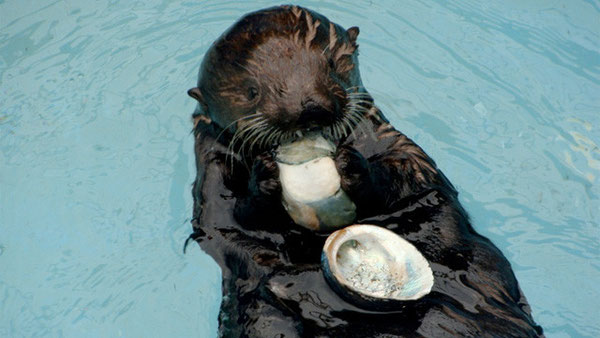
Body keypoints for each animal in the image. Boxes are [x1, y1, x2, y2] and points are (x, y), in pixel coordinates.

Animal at [188, 5, 544, 338]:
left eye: (332, 65)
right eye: (252, 92)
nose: (310, 107)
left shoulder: (389, 137)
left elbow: (410, 172)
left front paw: (355, 168)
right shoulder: (212, 174)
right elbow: (228, 220)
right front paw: (264, 179)